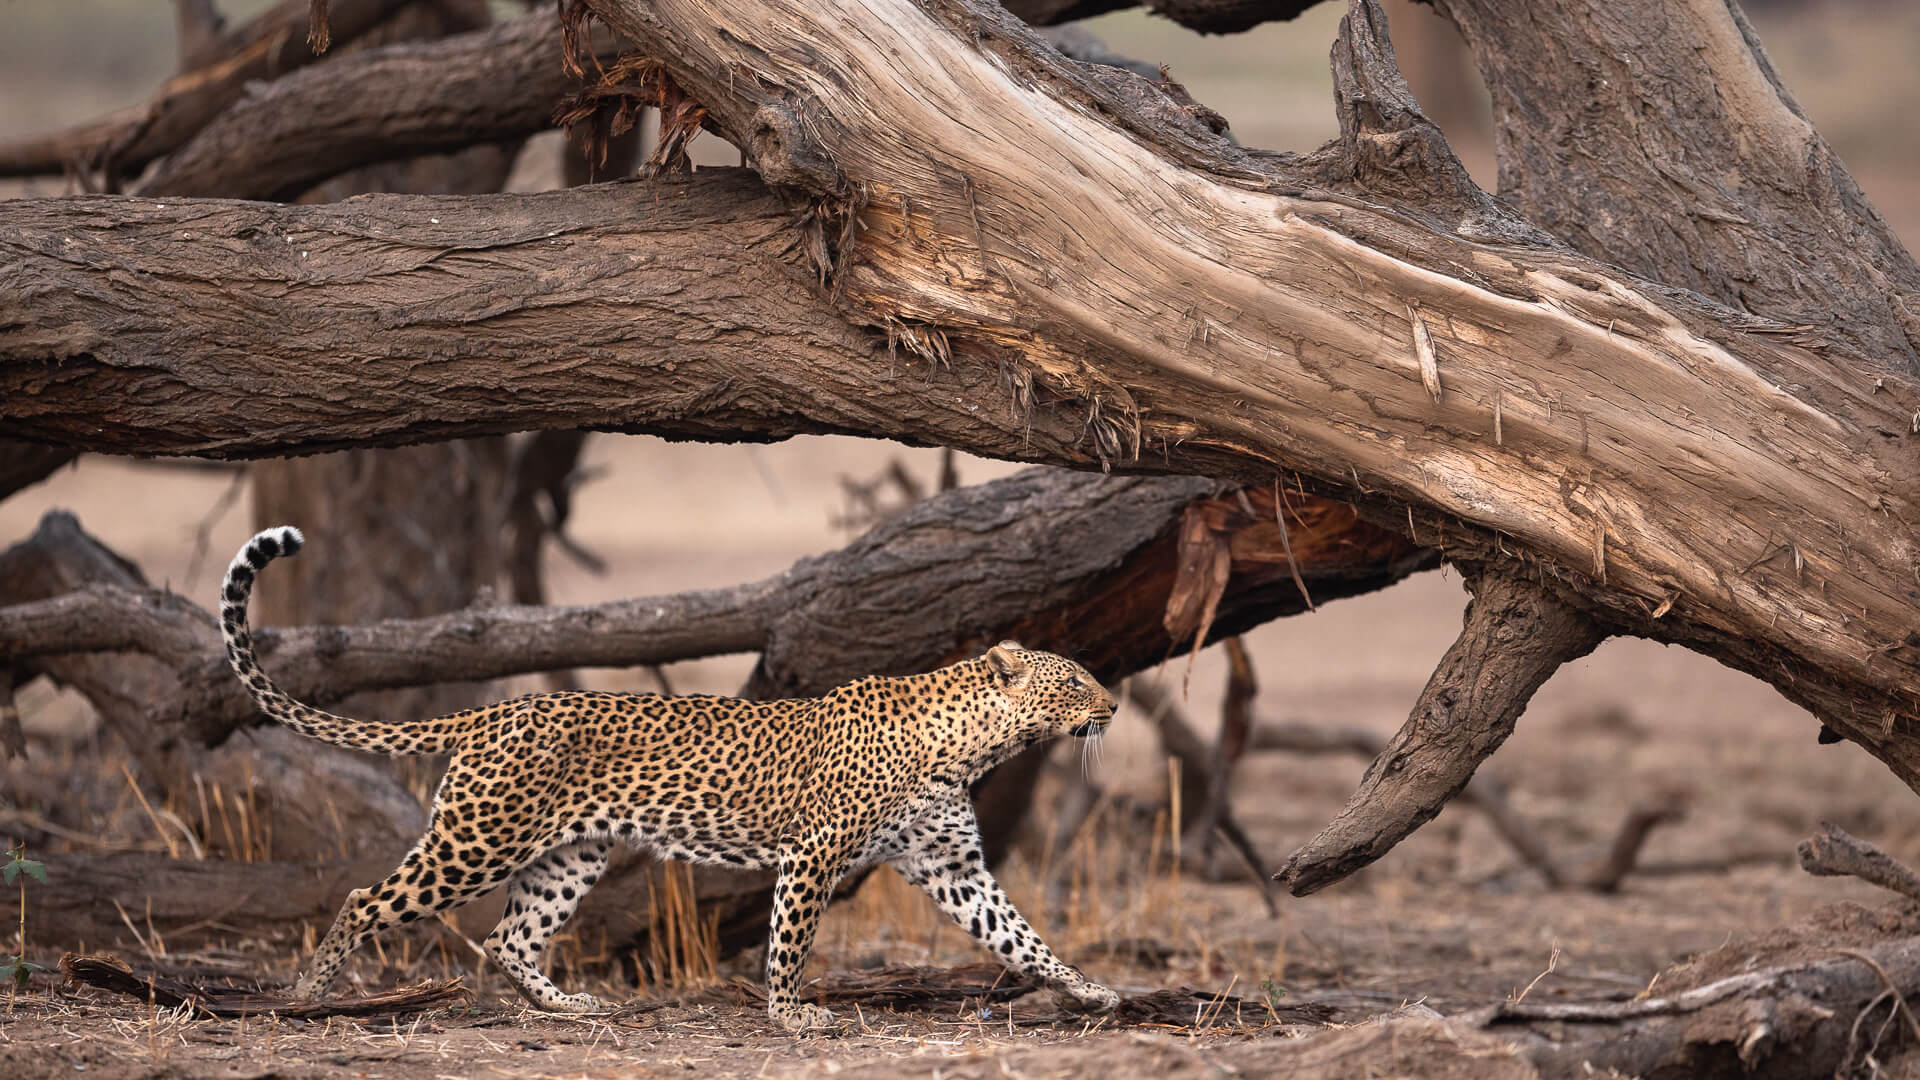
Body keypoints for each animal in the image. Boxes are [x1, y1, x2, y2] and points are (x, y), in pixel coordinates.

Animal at [217, 526, 1121, 1030]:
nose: (1113, 705)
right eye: (1075, 681)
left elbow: (1022, 935)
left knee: (511, 938)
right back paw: (310, 995)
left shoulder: (952, 867)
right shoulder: (816, 852)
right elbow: (790, 941)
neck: (969, 747)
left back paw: (572, 1008)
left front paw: (1090, 991)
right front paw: (792, 1017)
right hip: (478, 839)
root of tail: (493, 712)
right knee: (365, 898)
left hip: (568, 854)